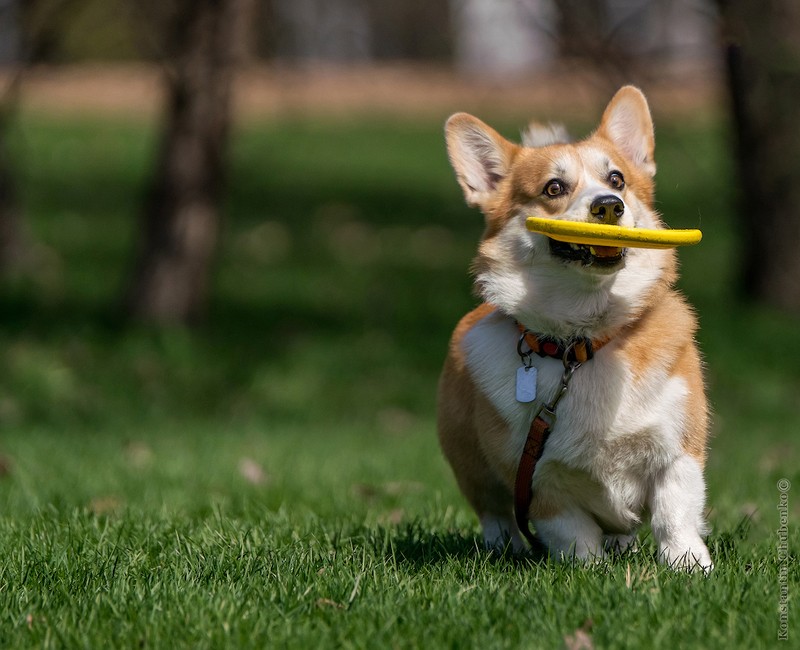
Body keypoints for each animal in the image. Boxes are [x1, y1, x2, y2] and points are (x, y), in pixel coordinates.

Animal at [438, 85, 712, 568]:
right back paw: (505, 547)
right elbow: (574, 537)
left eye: (617, 179)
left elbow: (674, 516)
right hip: (472, 466)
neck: (582, 340)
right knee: (495, 514)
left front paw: (691, 567)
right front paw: (590, 571)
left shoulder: (678, 453)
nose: (608, 205)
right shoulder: (540, 481)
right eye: (554, 187)